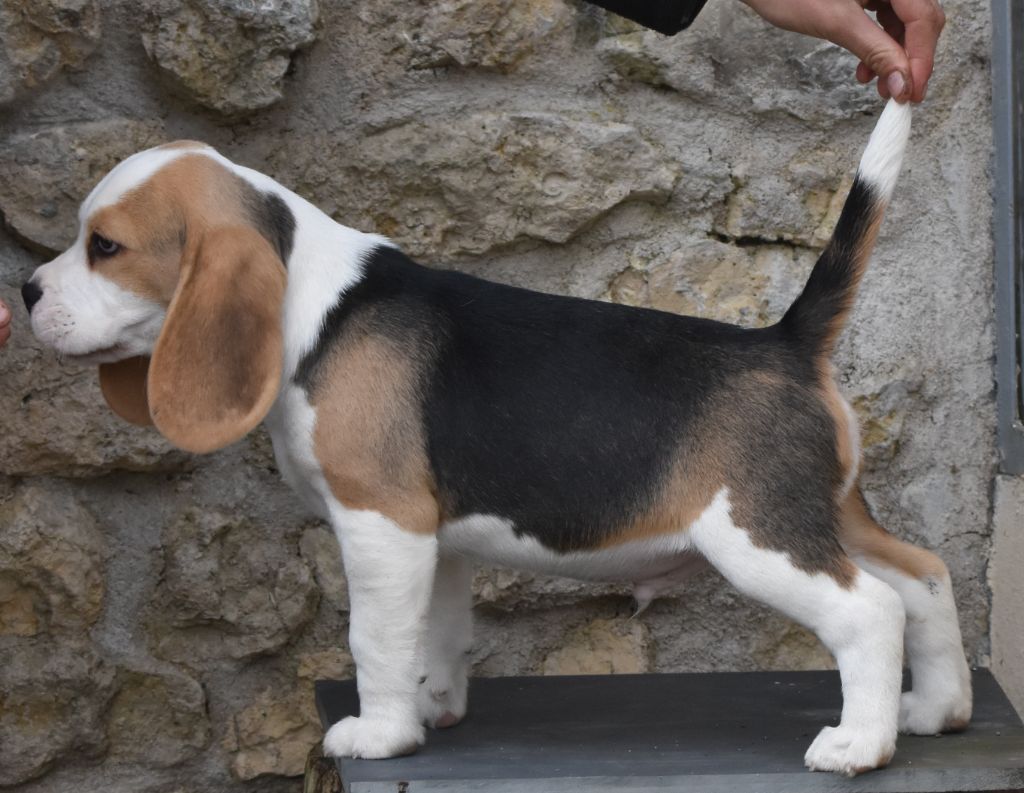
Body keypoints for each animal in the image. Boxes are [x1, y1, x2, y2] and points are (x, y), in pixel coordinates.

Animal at [19, 97, 970, 774]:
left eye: (105, 246)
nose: (26, 290)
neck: (314, 310)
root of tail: (785, 341)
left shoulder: (381, 523)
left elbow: (374, 638)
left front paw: (380, 732)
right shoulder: (433, 539)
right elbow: (431, 633)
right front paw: (430, 707)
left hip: (756, 534)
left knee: (870, 608)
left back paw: (860, 744)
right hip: (824, 513)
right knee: (923, 576)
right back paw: (936, 710)